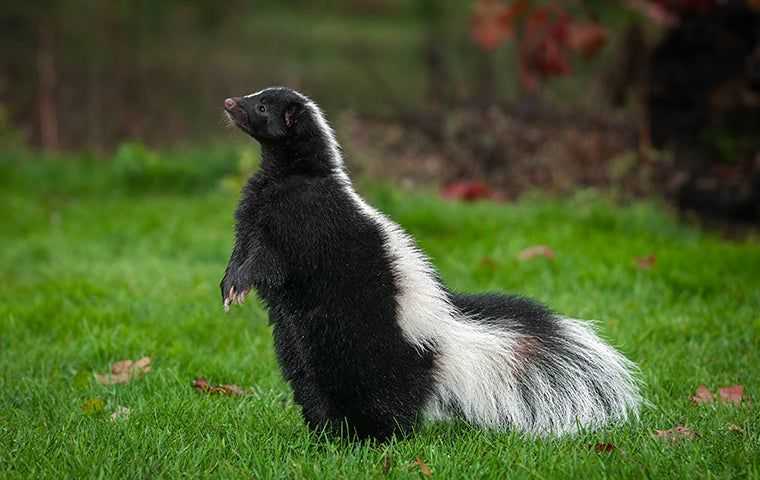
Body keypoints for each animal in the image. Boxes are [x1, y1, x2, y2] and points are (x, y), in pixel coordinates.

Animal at [220, 87, 640, 442]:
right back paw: (325, 436)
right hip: (301, 345)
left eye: (261, 107)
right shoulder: (254, 215)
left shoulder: (303, 222)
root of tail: (445, 343)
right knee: (311, 383)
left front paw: (239, 286)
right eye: (256, 97)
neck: (296, 174)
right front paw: (228, 285)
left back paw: (371, 440)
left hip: (369, 348)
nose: (229, 102)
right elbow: (242, 250)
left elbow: (267, 261)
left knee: (379, 397)